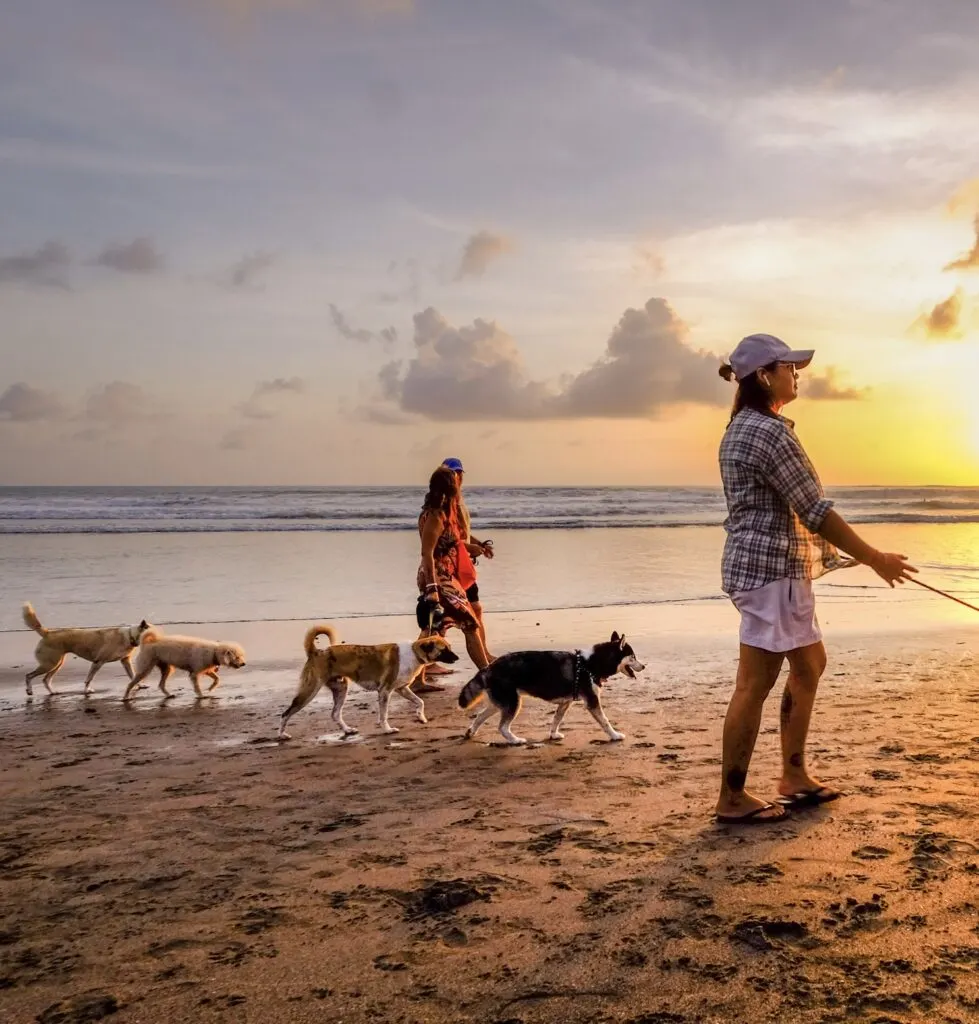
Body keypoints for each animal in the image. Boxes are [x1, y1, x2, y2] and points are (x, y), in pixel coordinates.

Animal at [22, 598, 151, 696]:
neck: (130, 636)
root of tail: (47, 633)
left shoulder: (125, 661)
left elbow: (133, 675)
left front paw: (140, 685)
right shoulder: (97, 662)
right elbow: (89, 679)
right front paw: (86, 691)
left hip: (57, 664)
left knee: (45, 679)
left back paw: (52, 692)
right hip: (50, 664)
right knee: (29, 675)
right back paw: (29, 691)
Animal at [276, 622, 456, 737]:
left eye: (449, 647)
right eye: (444, 650)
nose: (457, 658)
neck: (414, 652)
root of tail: (316, 652)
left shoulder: (402, 689)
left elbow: (420, 701)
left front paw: (421, 716)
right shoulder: (385, 691)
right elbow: (384, 714)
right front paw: (387, 730)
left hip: (340, 688)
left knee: (335, 714)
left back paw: (347, 730)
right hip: (309, 691)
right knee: (286, 713)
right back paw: (282, 734)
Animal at [456, 630, 643, 745]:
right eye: (633, 657)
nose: (644, 666)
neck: (590, 663)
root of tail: (489, 667)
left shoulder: (565, 703)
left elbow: (556, 719)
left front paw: (553, 734)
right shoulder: (592, 701)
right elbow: (605, 721)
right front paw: (615, 735)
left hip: (500, 703)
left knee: (480, 716)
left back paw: (471, 732)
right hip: (512, 703)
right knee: (502, 727)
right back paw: (515, 740)